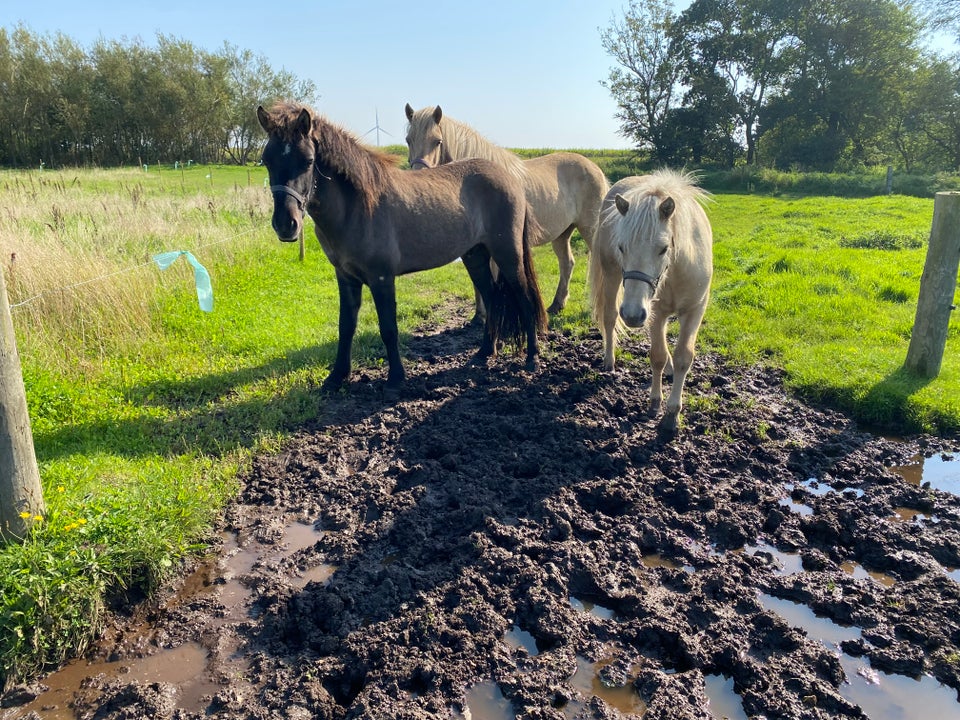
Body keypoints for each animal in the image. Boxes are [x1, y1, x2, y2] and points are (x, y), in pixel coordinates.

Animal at [255, 100, 548, 396]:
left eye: (308, 161)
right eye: (267, 160)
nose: (286, 224)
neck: (358, 206)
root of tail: (509, 178)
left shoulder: (382, 278)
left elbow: (388, 328)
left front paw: (395, 378)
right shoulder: (346, 277)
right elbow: (346, 327)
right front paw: (336, 377)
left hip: (508, 254)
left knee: (524, 297)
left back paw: (532, 358)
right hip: (475, 256)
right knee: (491, 297)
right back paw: (485, 352)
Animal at [404, 105, 608, 320]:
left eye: (438, 141)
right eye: (408, 140)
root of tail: (595, 169)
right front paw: (478, 316)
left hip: (589, 229)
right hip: (561, 234)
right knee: (567, 264)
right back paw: (556, 305)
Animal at [584, 170, 712, 434]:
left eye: (663, 248)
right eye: (622, 247)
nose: (632, 315)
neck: (675, 271)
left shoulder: (695, 310)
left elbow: (683, 357)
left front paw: (672, 415)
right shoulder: (655, 313)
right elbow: (658, 356)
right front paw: (656, 403)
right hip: (612, 277)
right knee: (609, 316)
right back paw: (609, 361)